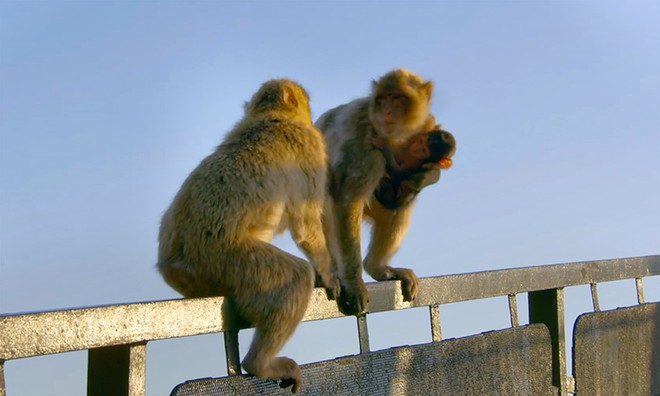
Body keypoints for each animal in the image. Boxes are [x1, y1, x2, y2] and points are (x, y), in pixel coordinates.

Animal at [157, 78, 338, 392]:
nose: (312, 114)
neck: (271, 116)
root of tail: (176, 265)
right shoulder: (310, 145)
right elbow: (305, 223)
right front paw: (326, 272)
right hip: (228, 261)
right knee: (293, 277)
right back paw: (260, 364)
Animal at [316, 68, 448, 316]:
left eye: (398, 98)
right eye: (382, 99)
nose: (386, 111)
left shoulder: (427, 125)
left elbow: (431, 172)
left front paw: (417, 179)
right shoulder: (364, 138)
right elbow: (347, 199)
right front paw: (353, 284)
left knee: (399, 207)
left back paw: (376, 267)